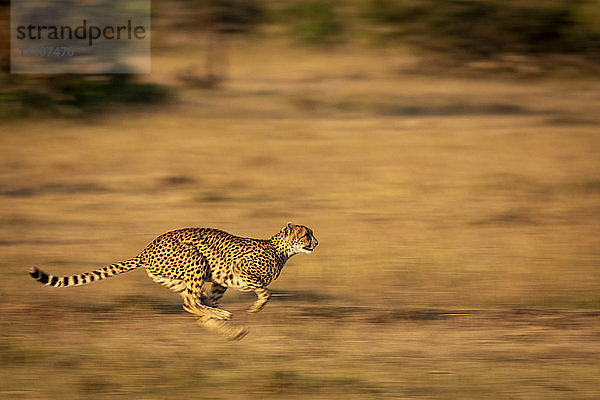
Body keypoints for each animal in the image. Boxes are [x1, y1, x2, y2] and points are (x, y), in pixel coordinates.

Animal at [28, 223, 318, 340]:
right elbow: (266, 292)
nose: (316, 242)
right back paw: (223, 316)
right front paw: (254, 308)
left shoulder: (221, 281)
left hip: (180, 277)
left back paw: (226, 325)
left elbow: (210, 299)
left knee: (191, 304)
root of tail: (146, 250)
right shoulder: (239, 272)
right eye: (307, 234)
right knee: (190, 302)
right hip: (195, 259)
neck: (280, 249)